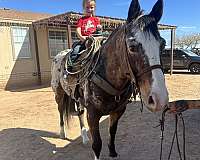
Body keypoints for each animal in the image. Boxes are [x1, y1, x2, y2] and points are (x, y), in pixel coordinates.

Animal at [50, 0, 169, 159]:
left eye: (162, 44)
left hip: (76, 97)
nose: (159, 99)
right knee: (60, 110)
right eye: (132, 47)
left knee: (79, 113)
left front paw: (112, 152)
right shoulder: (93, 115)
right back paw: (63, 133)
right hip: (59, 94)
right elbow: (97, 144)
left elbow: (112, 133)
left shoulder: (118, 111)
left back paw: (84, 137)